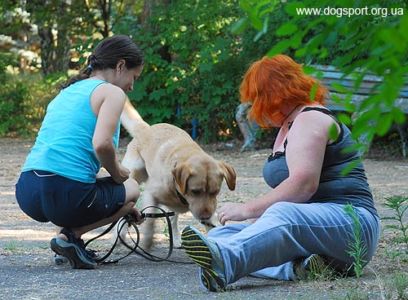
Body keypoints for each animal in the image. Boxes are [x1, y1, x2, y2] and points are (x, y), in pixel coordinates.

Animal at [119, 99, 236, 247]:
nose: (205, 216)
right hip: (133, 177)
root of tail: (146, 128)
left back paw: (175, 238)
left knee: (173, 221)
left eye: (215, 192)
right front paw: (147, 242)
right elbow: (150, 221)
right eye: (195, 191)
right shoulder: (151, 194)